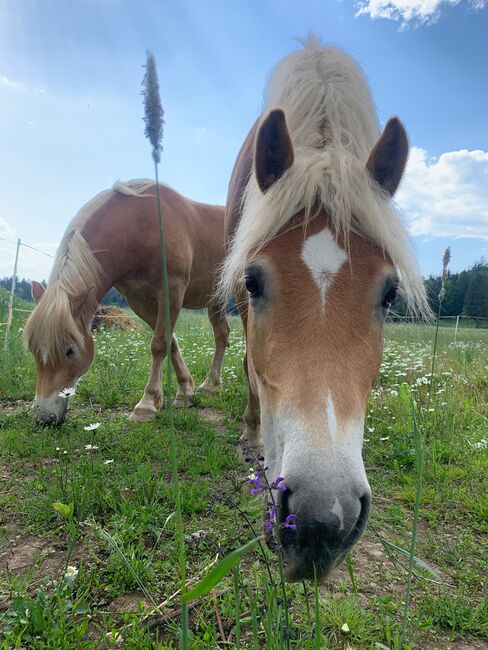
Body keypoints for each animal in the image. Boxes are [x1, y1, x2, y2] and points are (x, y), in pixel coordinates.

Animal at [24, 180, 229, 425]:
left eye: (70, 351)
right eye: (33, 350)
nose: (44, 417)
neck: (140, 227)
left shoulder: (172, 291)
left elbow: (159, 344)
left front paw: (147, 404)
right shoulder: (139, 302)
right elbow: (170, 343)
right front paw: (184, 393)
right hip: (215, 300)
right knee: (222, 334)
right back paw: (211, 385)